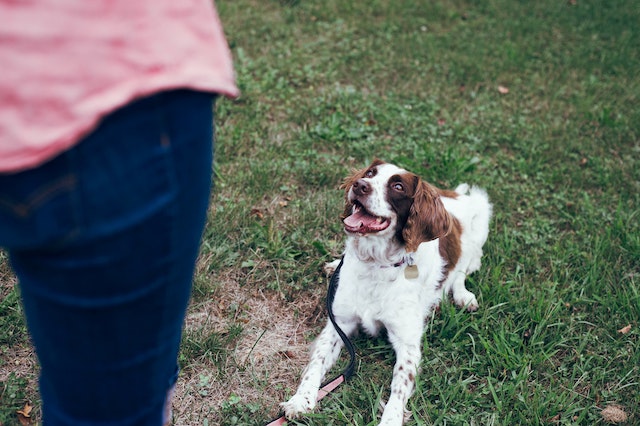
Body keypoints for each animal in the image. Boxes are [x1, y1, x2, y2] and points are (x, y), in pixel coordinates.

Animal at [282, 161, 496, 426]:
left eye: (397, 186)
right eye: (369, 174)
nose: (359, 185)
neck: (376, 264)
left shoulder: (408, 343)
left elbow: (399, 385)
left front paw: (390, 419)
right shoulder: (339, 323)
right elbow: (317, 362)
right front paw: (301, 400)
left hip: (480, 217)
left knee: (462, 270)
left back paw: (463, 296)